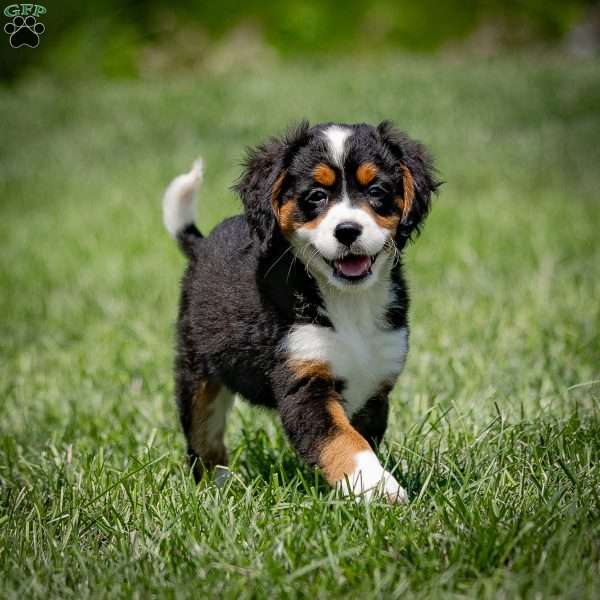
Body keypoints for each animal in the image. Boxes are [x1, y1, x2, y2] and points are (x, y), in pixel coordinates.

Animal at [162, 119, 438, 504]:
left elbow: (360, 438)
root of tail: (200, 246)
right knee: (204, 441)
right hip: (197, 373)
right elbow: (343, 441)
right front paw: (378, 487)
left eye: (376, 191)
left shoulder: (374, 386)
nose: (347, 230)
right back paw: (219, 491)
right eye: (316, 196)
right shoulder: (303, 379)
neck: (348, 303)